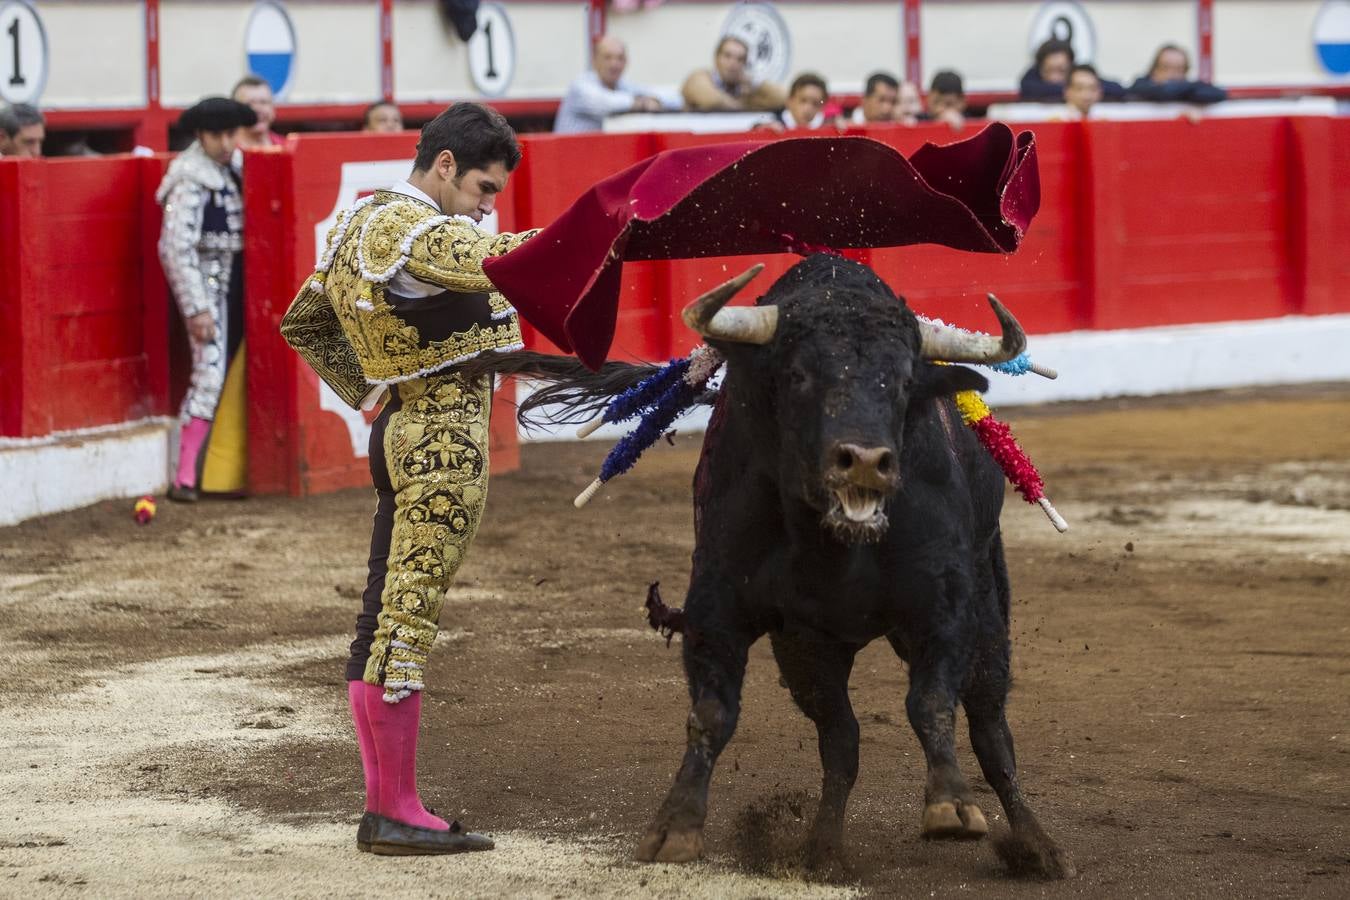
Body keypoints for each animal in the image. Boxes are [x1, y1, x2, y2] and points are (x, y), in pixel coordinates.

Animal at [486, 253, 1063, 879]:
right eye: (798, 376)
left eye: (907, 382)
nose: (865, 461)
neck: (834, 543)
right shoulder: (718, 607)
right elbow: (712, 713)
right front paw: (675, 829)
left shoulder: (946, 603)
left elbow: (930, 702)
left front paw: (951, 807)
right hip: (808, 653)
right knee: (841, 740)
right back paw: (823, 852)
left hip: (988, 611)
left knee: (989, 727)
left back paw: (1037, 847)